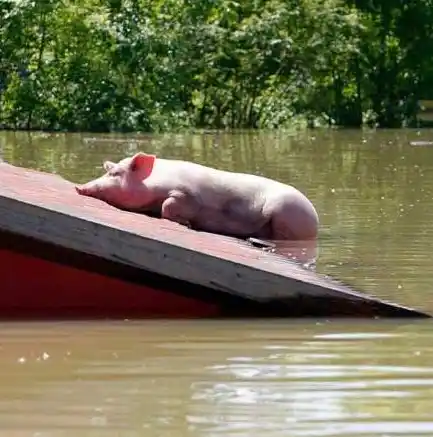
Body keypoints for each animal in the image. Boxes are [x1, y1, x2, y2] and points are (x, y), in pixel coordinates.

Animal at [74, 152, 318, 240]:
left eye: (114, 174)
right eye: (107, 171)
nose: (79, 187)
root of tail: (316, 220)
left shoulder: (185, 194)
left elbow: (170, 205)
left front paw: (188, 224)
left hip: (286, 215)